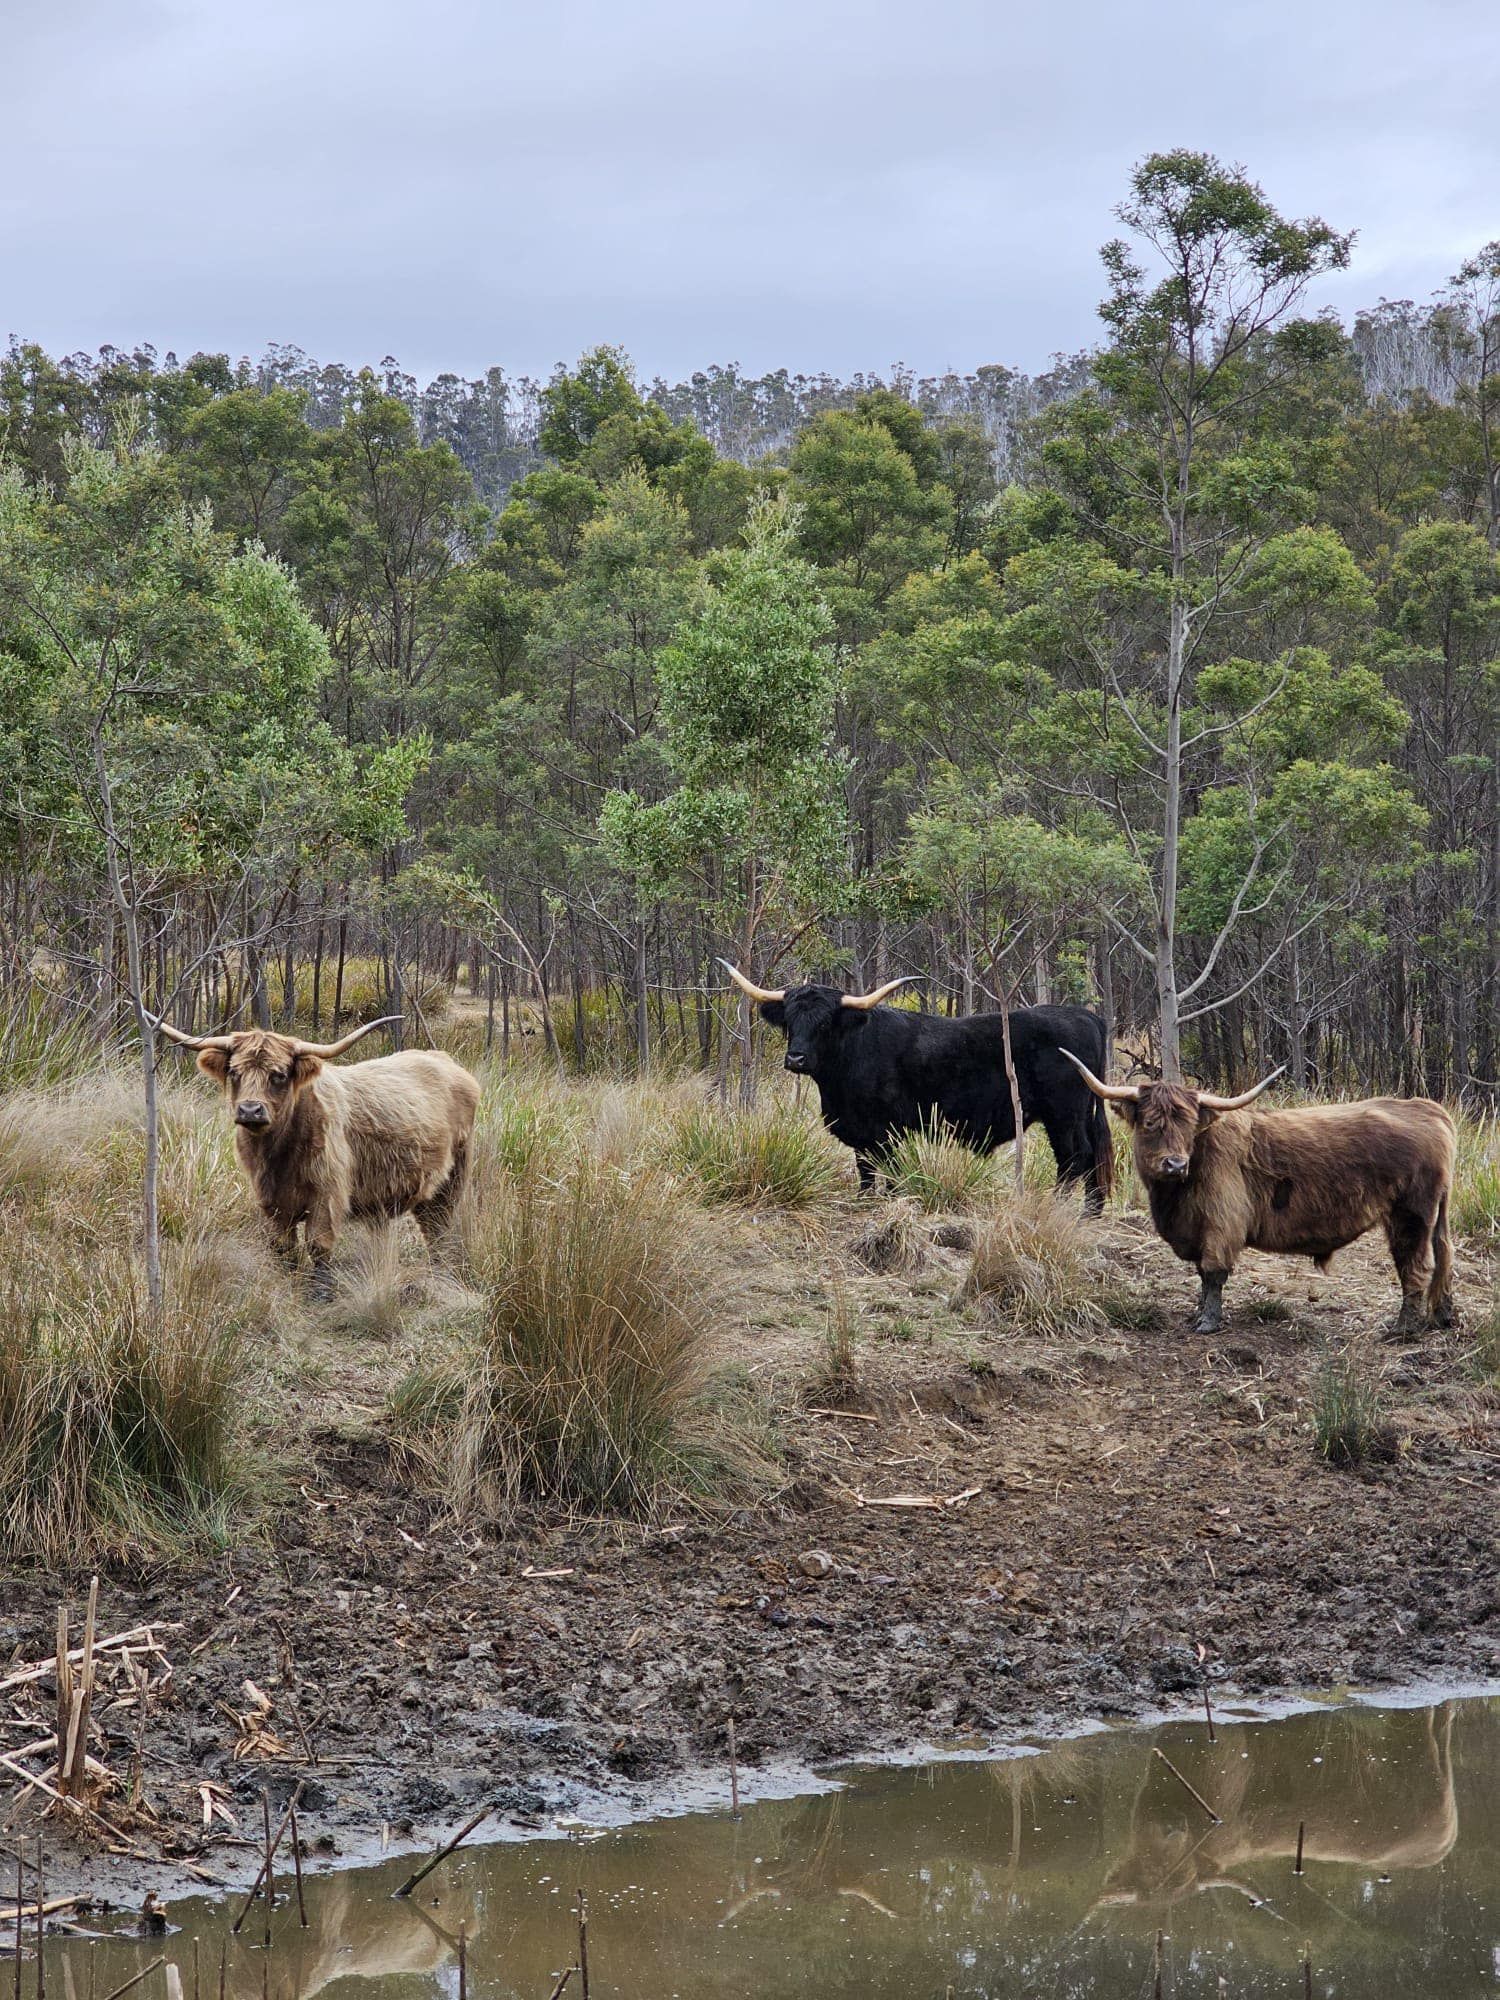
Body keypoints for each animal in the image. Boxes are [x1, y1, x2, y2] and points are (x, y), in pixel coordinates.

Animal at [153, 1016, 480, 1297]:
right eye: (235, 1072)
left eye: (279, 1075)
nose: (249, 1110)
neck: (278, 1154)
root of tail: (445, 1060)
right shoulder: (269, 1198)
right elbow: (282, 1244)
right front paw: (288, 1281)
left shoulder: (327, 1193)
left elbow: (318, 1242)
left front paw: (321, 1291)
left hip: (452, 1178)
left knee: (438, 1228)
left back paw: (439, 1275)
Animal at [721, 963, 1115, 1212]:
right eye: (790, 1021)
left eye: (824, 1023)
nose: (796, 1058)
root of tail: (1087, 1016)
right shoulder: (860, 1130)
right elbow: (865, 1168)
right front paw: (865, 1201)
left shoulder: (887, 1128)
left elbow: (890, 1168)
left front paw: (892, 1200)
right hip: (1084, 1111)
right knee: (1093, 1157)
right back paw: (1090, 1213)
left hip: (1064, 1113)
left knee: (1075, 1157)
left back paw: (1059, 1208)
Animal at [1062, 1053, 1455, 1337]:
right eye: (1149, 1124)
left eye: (1188, 1125)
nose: (1174, 1164)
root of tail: (1428, 1110)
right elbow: (1201, 1276)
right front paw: (1196, 1313)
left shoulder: (1222, 1221)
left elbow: (1213, 1272)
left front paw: (1208, 1322)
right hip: (1434, 1215)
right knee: (1443, 1257)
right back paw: (1441, 1317)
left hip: (1410, 1215)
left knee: (1415, 1267)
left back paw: (1401, 1329)